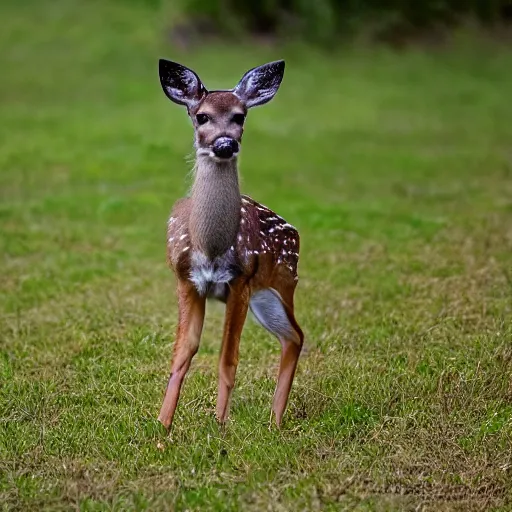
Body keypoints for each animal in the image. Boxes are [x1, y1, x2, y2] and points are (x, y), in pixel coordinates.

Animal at [158, 58, 304, 430]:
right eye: (201, 116)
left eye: (240, 116)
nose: (225, 144)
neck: (210, 247)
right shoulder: (185, 279)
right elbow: (182, 353)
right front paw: (162, 425)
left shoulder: (240, 281)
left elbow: (227, 359)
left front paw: (220, 425)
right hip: (264, 297)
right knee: (292, 336)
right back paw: (274, 420)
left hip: (280, 283)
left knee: (297, 334)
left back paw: (275, 422)